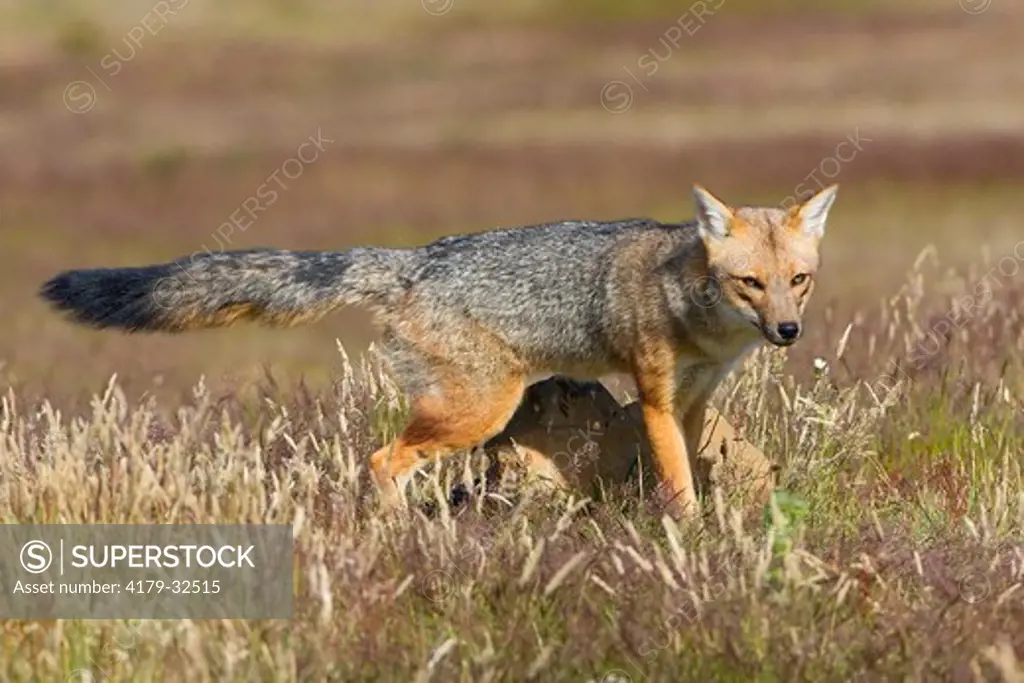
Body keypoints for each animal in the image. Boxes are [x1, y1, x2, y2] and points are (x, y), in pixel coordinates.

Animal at [41, 184, 839, 520]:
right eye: (749, 283)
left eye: (798, 281)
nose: (787, 332)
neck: (703, 314)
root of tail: (415, 259)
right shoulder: (653, 398)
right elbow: (676, 483)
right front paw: (689, 537)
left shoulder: (694, 399)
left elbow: (696, 468)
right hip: (478, 412)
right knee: (379, 460)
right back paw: (405, 536)